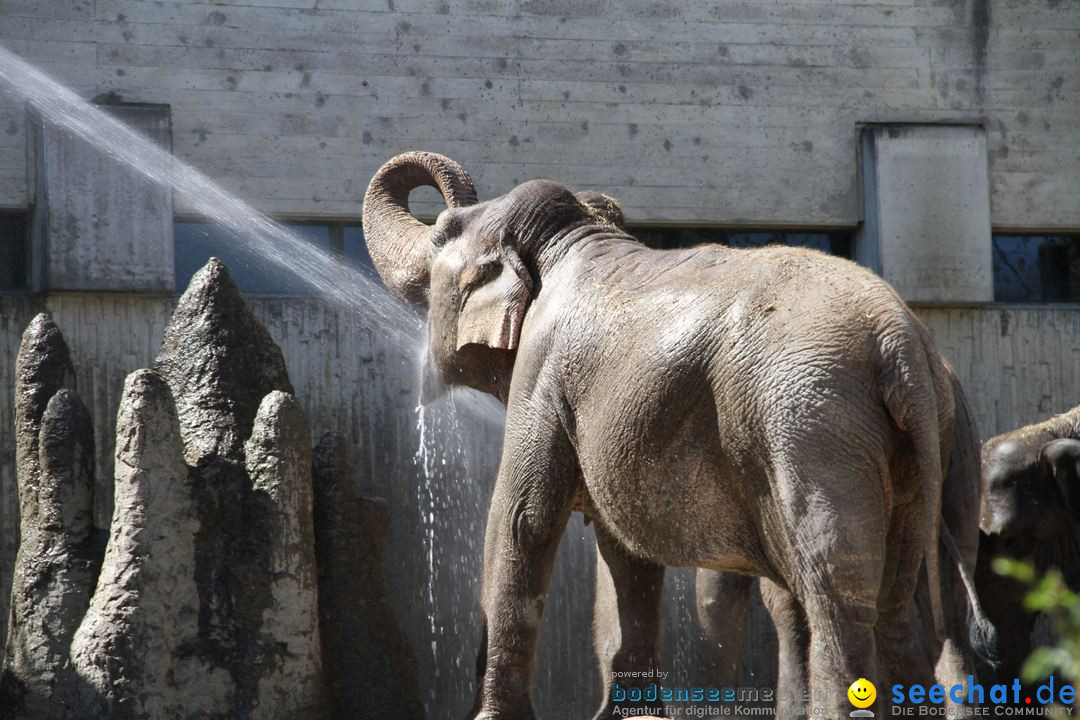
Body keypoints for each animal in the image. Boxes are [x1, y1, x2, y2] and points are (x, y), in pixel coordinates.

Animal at [362, 152, 980, 720]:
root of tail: (900, 341)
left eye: (443, 231)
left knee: (837, 595)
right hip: (924, 443)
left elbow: (523, 520)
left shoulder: (542, 368)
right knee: (898, 605)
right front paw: (629, 715)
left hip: (812, 427)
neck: (575, 237)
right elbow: (623, 549)